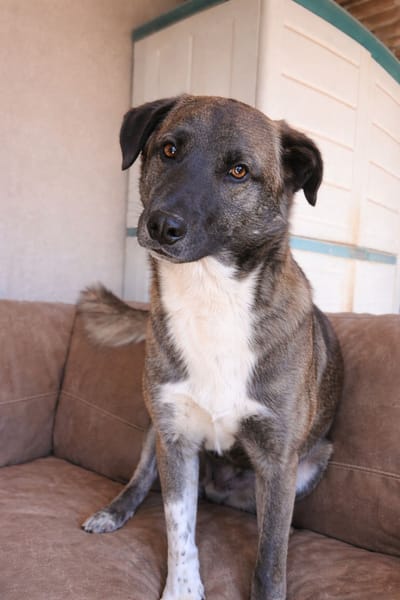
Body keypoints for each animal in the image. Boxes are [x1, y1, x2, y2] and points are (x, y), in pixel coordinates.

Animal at [80, 95, 343, 600]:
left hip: (312, 462)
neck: (210, 295)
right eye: (168, 149)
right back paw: (113, 511)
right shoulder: (176, 440)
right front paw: (182, 590)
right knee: (141, 481)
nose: (162, 225)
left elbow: (270, 559)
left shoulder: (278, 463)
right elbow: (179, 532)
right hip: (155, 433)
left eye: (239, 171)